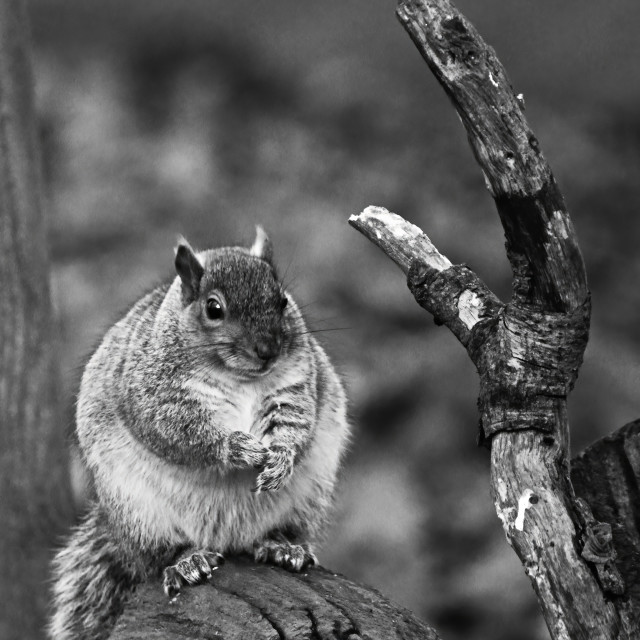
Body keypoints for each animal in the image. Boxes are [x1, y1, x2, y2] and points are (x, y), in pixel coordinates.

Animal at [49, 229, 350, 640]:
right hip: (139, 512)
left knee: (279, 531)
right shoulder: (157, 396)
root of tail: (228, 540)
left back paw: (282, 546)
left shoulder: (297, 384)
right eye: (214, 308)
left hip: (308, 497)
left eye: (283, 300)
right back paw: (188, 561)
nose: (268, 350)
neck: (239, 376)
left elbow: (296, 421)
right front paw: (238, 448)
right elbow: (182, 432)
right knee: (157, 555)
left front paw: (281, 458)